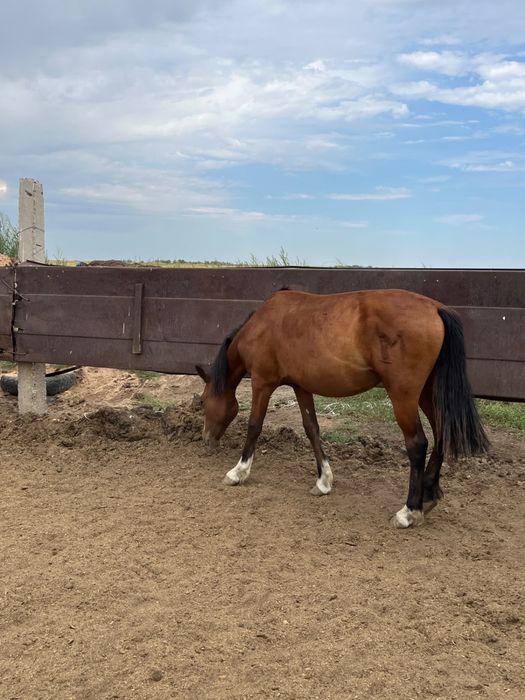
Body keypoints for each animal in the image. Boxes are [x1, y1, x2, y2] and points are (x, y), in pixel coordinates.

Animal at [195, 288, 489, 528]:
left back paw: (408, 511)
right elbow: (312, 429)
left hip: (404, 396)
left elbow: (254, 425)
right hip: (427, 393)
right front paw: (323, 481)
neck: (262, 324)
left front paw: (238, 472)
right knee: (441, 436)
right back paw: (428, 496)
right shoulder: (301, 386)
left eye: (203, 402)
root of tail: (436, 308)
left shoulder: (262, 382)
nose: (206, 438)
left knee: (418, 444)